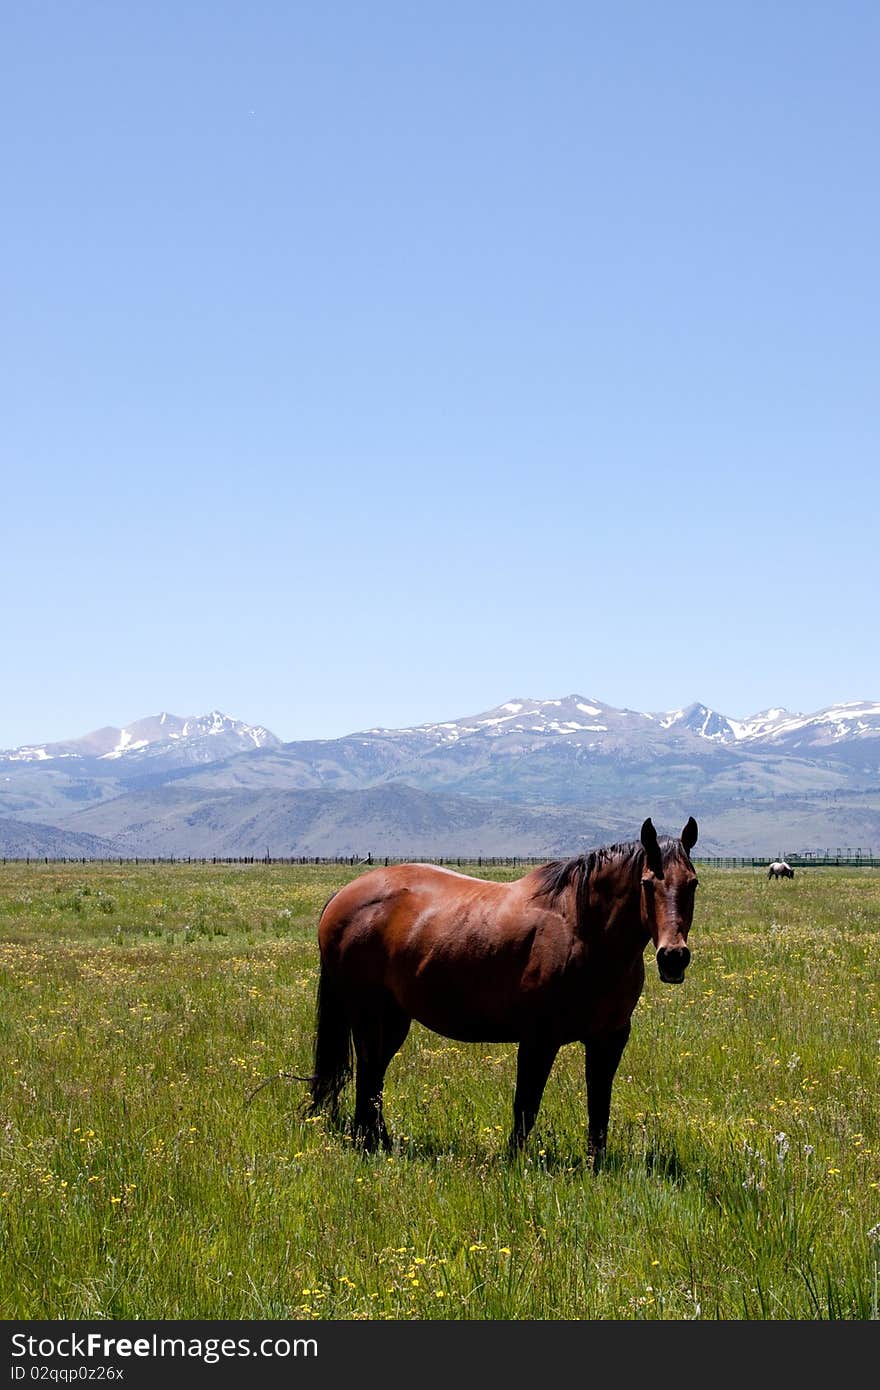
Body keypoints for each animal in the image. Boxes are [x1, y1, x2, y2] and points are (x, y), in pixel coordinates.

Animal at [305, 817, 697, 1167]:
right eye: (647, 883)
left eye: (692, 883)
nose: (673, 957)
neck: (582, 931)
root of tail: (343, 896)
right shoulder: (540, 1039)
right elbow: (526, 1104)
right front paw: (514, 1162)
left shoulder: (609, 1039)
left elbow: (599, 1104)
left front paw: (595, 1166)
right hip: (368, 1015)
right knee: (369, 1074)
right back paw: (370, 1145)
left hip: (394, 1018)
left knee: (374, 1078)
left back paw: (381, 1144)